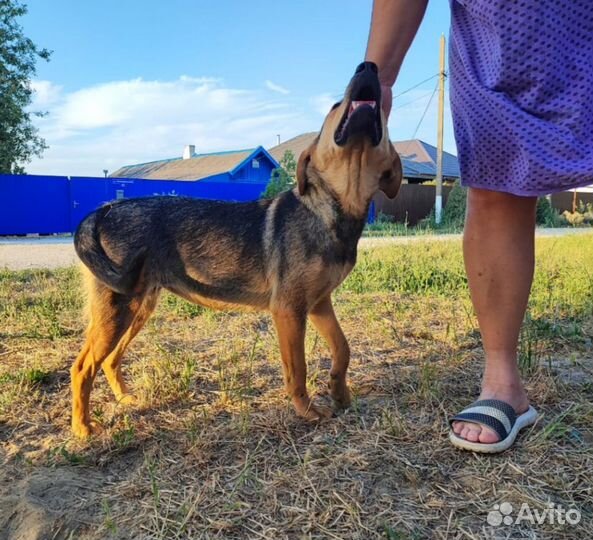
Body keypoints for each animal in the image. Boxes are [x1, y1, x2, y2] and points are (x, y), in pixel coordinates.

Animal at [70, 61, 402, 436]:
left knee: (109, 360)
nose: (368, 67)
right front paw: (306, 411)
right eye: (334, 106)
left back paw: (125, 400)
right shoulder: (289, 310)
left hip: (138, 306)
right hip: (118, 309)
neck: (328, 210)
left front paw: (340, 393)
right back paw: (82, 428)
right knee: (82, 367)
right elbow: (298, 369)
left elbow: (343, 349)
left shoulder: (318, 304)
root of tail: (104, 209)